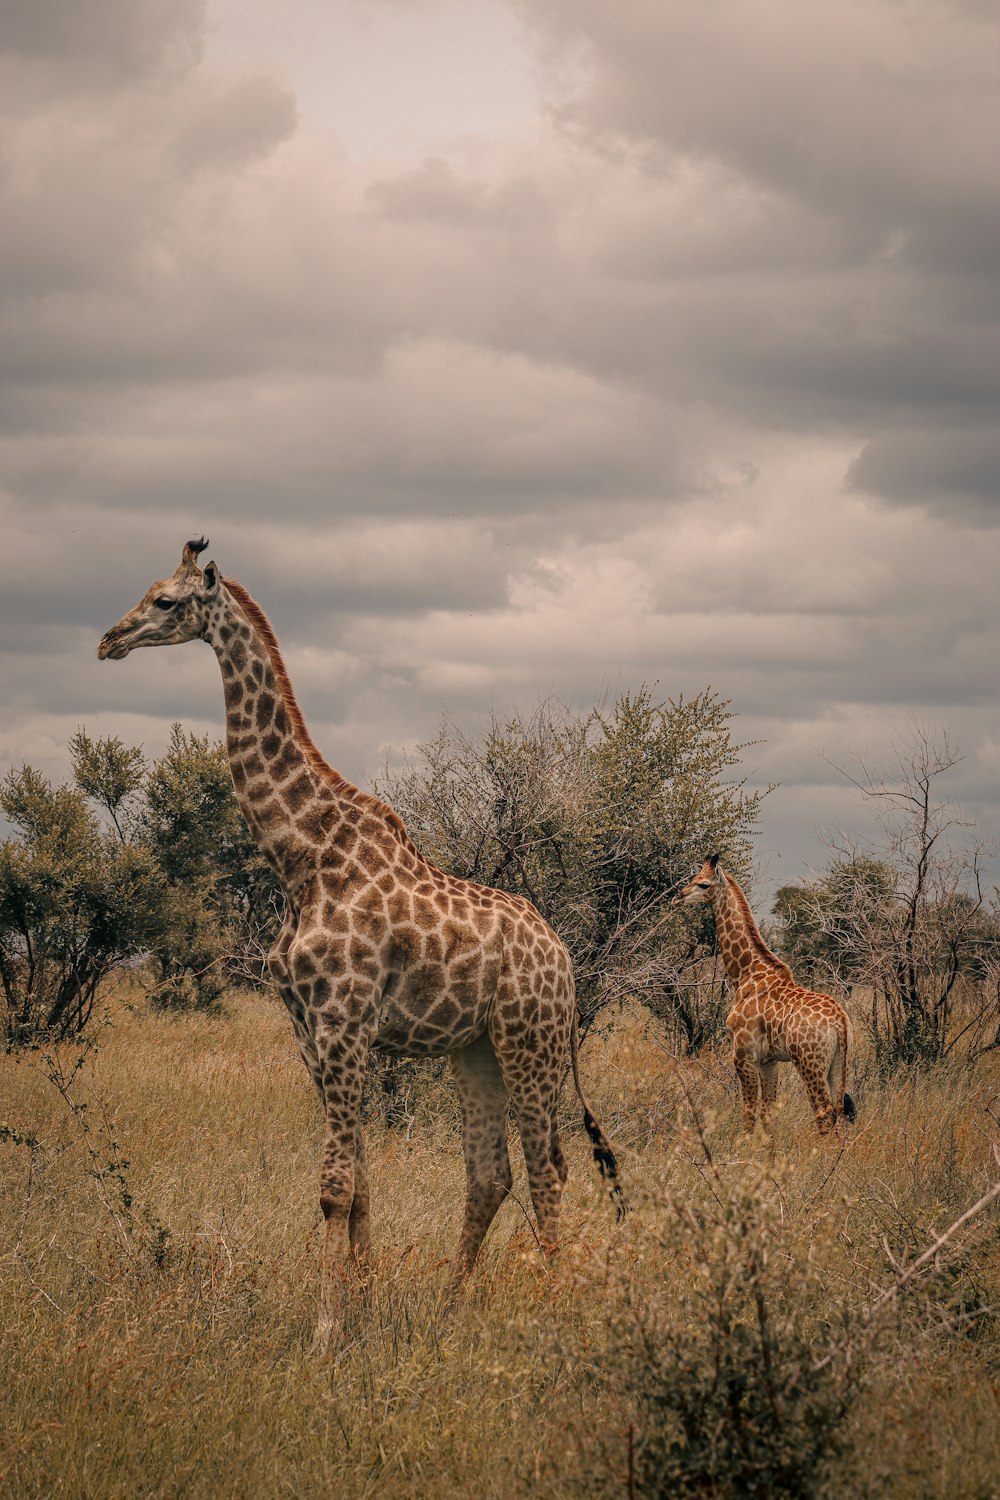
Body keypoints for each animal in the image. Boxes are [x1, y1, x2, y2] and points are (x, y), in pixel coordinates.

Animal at [99, 540, 617, 1338]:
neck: (300, 856)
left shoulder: (344, 1022)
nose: (109, 640)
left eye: (164, 601)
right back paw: (449, 1305)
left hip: (530, 1040)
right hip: (475, 1050)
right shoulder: (310, 1030)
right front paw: (365, 1313)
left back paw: (554, 1303)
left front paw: (326, 1329)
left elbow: (334, 1187)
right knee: (490, 1173)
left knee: (546, 1165)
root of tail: (562, 956)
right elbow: (363, 1182)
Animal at [671, 858, 851, 1134]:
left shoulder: (742, 1054)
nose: (677, 898)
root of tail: (840, 1021)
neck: (746, 973)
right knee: (840, 1112)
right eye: (693, 877)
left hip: (809, 1062)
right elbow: (768, 1113)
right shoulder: (769, 1061)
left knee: (824, 1113)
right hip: (838, 1063)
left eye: (703, 884)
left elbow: (748, 1112)